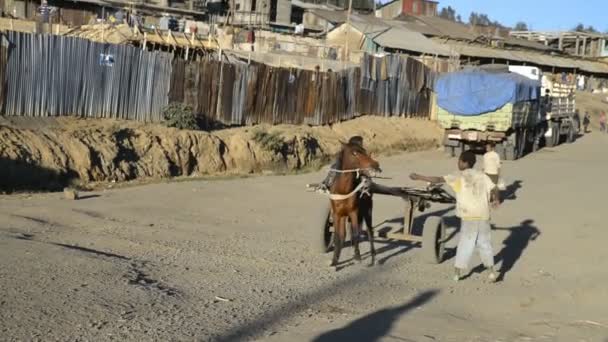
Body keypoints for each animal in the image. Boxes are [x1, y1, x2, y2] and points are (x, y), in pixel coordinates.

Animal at [328, 140, 380, 268]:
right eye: (355, 152)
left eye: (364, 150)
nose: (375, 164)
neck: (343, 191)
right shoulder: (337, 214)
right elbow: (338, 236)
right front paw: (335, 261)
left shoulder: (354, 212)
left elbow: (356, 233)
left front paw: (357, 256)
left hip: (367, 211)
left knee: (370, 232)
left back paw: (373, 258)